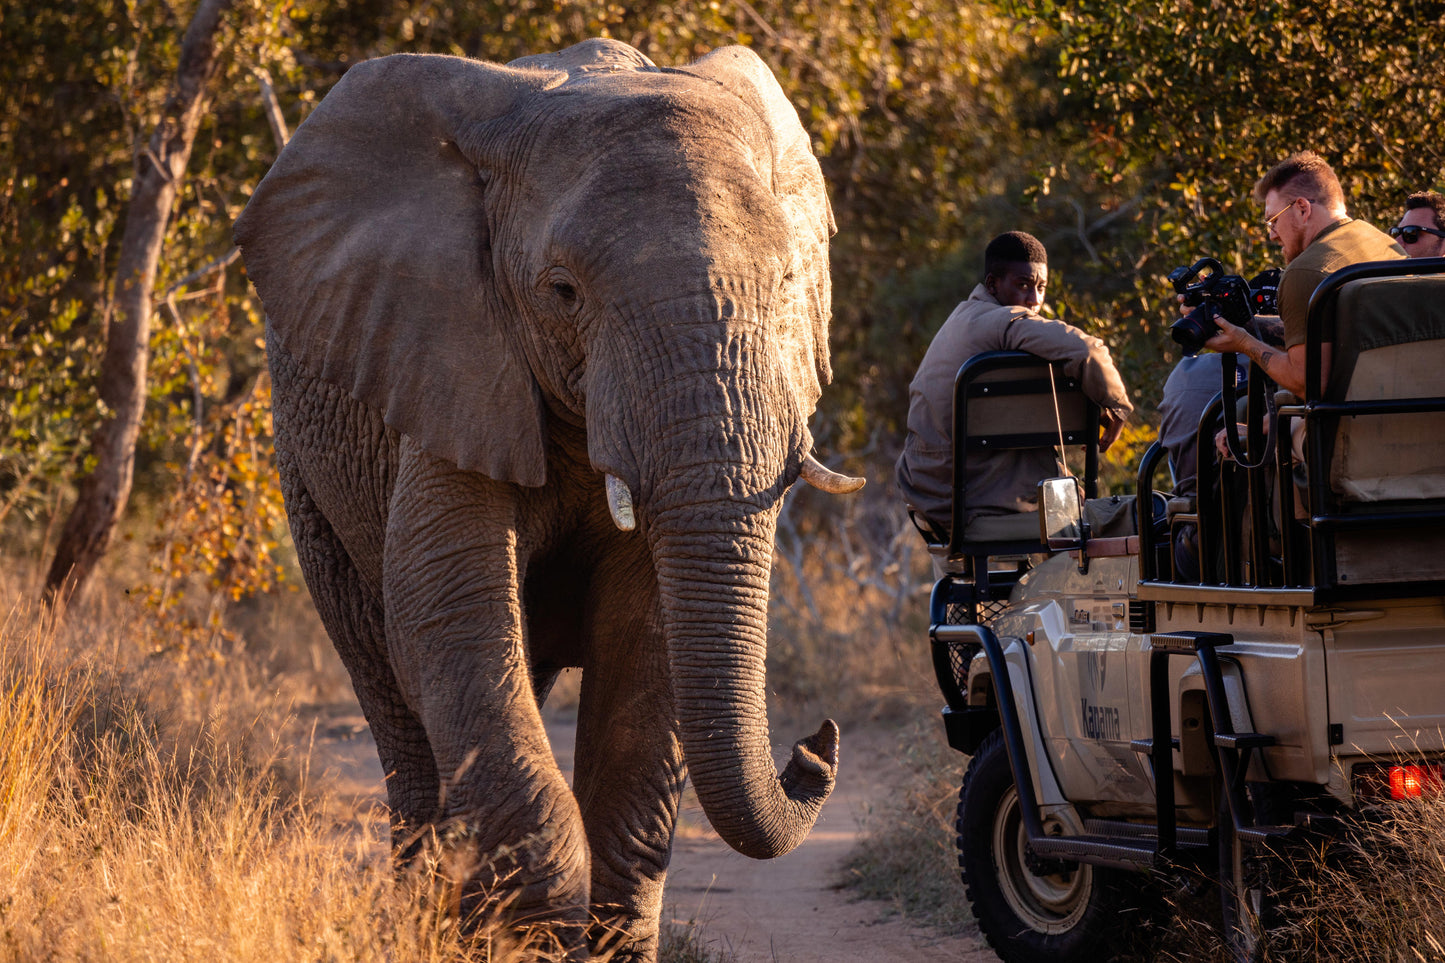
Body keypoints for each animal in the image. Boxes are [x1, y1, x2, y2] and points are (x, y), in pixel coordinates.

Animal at [236, 33, 861, 954]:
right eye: (562, 291)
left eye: (787, 283)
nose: (815, 744)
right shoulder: (448, 358)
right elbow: (448, 611)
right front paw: (537, 937)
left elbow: (648, 636)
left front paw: (598, 946)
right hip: (309, 474)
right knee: (391, 684)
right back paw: (433, 921)